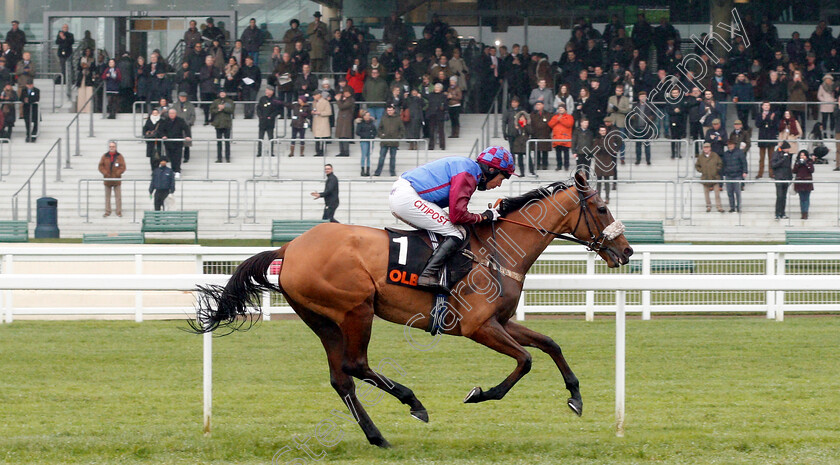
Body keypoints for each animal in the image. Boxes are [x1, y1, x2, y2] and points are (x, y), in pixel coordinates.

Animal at [195, 170, 632, 446]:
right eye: (603, 208)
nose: (626, 251)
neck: (498, 248)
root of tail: (289, 246)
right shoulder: (477, 326)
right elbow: (525, 360)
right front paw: (479, 394)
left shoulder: (501, 321)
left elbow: (550, 343)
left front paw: (575, 397)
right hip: (356, 309)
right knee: (355, 364)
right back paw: (413, 402)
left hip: (322, 320)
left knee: (341, 378)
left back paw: (377, 437)